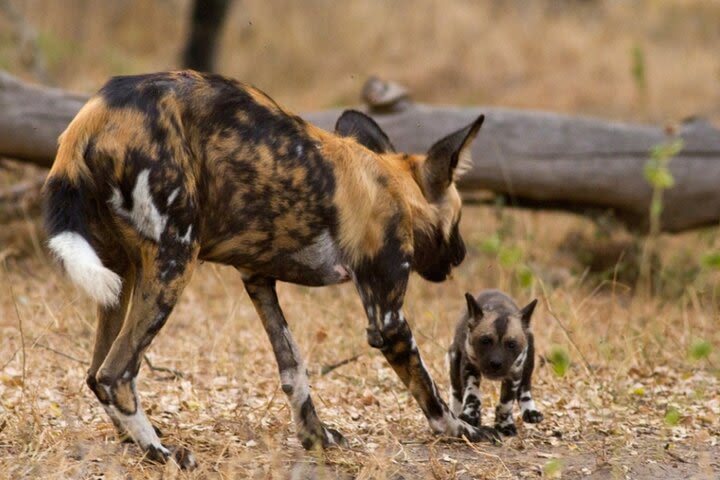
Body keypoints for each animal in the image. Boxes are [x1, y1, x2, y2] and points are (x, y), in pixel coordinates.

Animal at [42, 71, 498, 468]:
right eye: (458, 221)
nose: (460, 254)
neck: (394, 187)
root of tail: (93, 116)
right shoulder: (387, 319)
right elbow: (428, 389)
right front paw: (461, 430)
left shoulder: (257, 279)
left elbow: (293, 367)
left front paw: (316, 437)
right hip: (175, 261)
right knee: (115, 373)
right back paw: (161, 453)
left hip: (120, 277)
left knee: (95, 373)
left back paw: (131, 440)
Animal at [448, 288, 544, 436]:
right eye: (485, 341)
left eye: (512, 345)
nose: (496, 363)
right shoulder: (469, 369)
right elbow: (472, 395)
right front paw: (470, 416)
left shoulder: (514, 375)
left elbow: (505, 404)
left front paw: (504, 424)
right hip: (454, 360)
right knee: (456, 390)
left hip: (528, 364)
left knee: (525, 387)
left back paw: (530, 410)